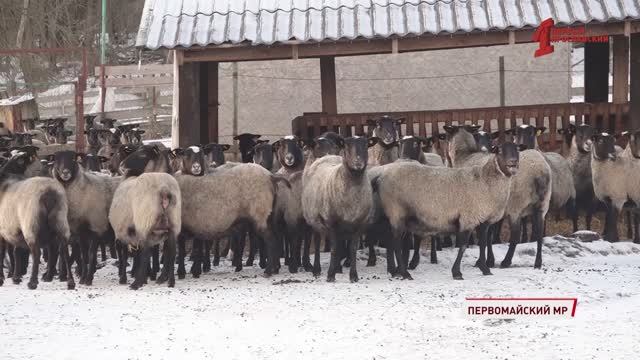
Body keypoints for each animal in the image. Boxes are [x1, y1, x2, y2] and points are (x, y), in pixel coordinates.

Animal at [109, 145, 181, 288]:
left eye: (142, 154)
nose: (121, 165)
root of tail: (164, 189)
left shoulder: (122, 231)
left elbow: (124, 253)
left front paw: (125, 277)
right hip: (173, 223)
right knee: (171, 251)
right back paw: (170, 281)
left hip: (145, 221)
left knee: (146, 251)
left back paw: (136, 283)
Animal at [302, 135, 378, 282]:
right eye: (347, 146)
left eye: (366, 145)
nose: (358, 162)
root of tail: (327, 157)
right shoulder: (332, 221)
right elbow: (334, 249)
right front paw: (330, 275)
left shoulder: (359, 223)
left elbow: (352, 250)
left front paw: (353, 276)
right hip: (315, 217)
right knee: (318, 240)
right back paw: (317, 269)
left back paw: (338, 268)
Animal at [376, 142, 520, 280]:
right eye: (500, 150)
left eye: (517, 149)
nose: (513, 162)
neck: (485, 181)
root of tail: (382, 176)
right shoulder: (468, 218)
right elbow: (463, 246)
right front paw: (457, 273)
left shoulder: (483, 221)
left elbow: (483, 244)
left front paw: (485, 269)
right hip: (397, 212)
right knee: (395, 243)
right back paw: (404, 273)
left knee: (391, 241)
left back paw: (395, 271)